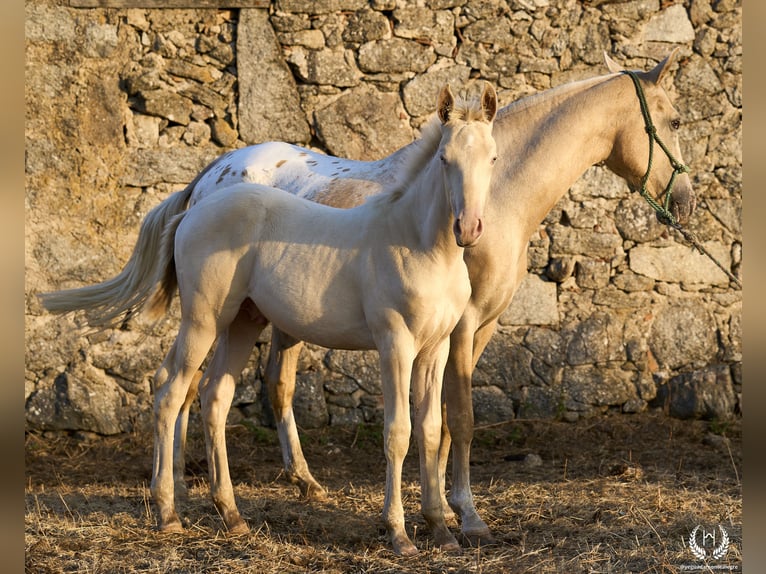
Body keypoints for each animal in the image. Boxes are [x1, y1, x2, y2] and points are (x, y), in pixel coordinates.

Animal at [40, 53, 696, 548]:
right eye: (671, 120)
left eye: (493, 158)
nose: (687, 202)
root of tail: (205, 180)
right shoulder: (459, 329)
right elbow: (454, 419)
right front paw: (463, 516)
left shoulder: (467, 329)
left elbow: (437, 423)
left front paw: (442, 516)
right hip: (212, 318)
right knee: (176, 387)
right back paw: (172, 505)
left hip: (248, 320)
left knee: (218, 392)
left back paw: (222, 495)